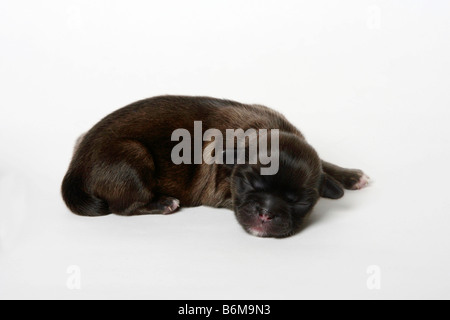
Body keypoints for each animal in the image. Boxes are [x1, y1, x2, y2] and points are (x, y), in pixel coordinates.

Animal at [60, 96, 370, 239]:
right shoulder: (221, 192)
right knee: (123, 206)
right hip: (134, 155)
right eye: (248, 184)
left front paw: (348, 176)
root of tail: (74, 167)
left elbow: (323, 163)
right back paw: (164, 203)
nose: (266, 213)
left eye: (299, 202)